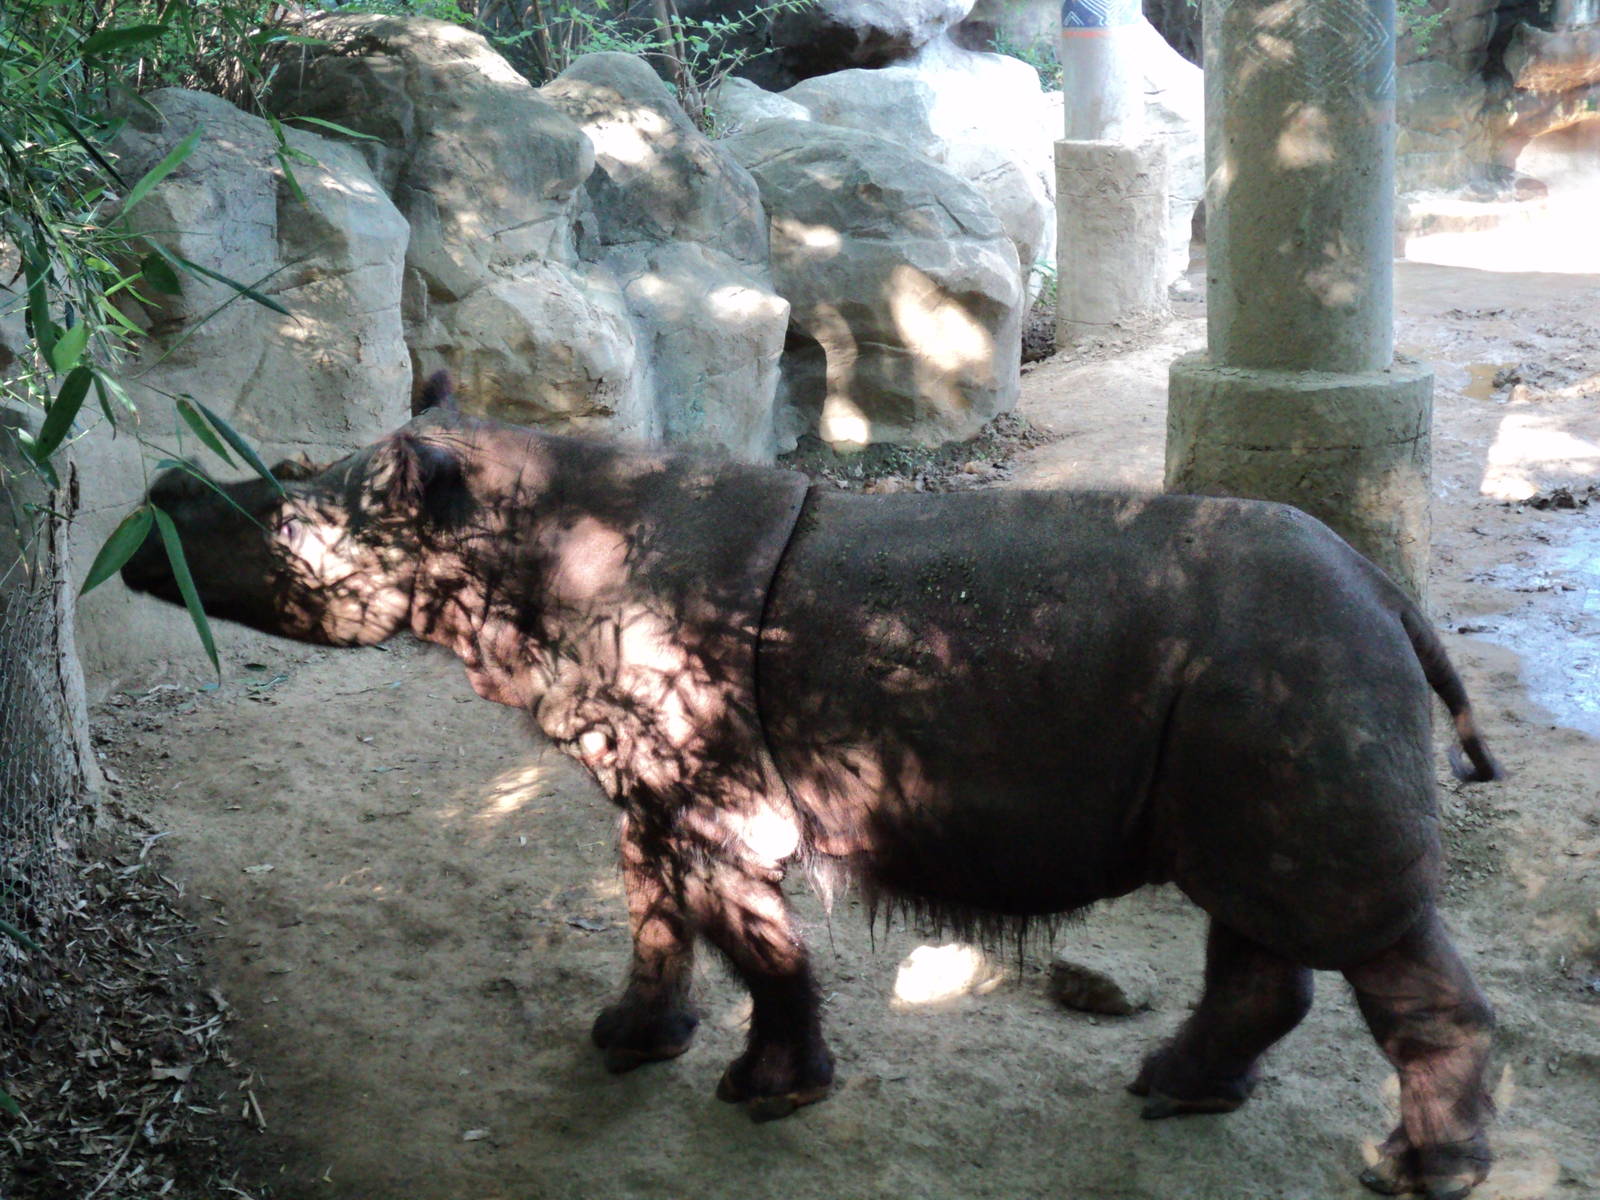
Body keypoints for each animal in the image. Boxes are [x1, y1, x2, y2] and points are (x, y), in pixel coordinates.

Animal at [121, 377, 1499, 1199]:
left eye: (286, 523)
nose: (148, 514)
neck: (509, 538)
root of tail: (1393, 598)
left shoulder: (710, 794)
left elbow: (752, 938)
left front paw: (767, 1097)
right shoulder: (645, 778)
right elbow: (658, 918)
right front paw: (629, 1044)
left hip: (1292, 671)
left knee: (1351, 925)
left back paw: (1409, 1169)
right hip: (1258, 700)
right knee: (1256, 911)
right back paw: (1177, 1092)